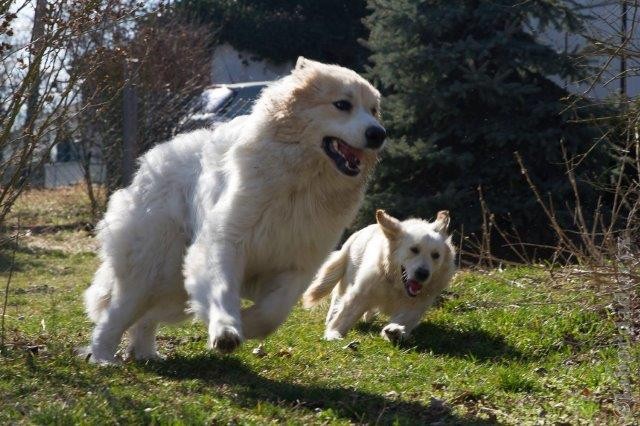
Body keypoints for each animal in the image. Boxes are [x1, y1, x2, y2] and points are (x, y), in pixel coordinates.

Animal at [84, 56, 384, 362]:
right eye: (342, 105)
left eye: (374, 110)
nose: (378, 134)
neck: (301, 183)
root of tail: (150, 160)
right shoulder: (226, 242)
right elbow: (222, 289)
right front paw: (226, 329)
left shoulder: (297, 266)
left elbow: (272, 313)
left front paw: (246, 324)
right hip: (153, 267)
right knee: (116, 314)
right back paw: (103, 357)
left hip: (171, 284)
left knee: (145, 318)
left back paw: (146, 354)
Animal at [302, 210, 456, 342]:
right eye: (414, 249)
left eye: (436, 255)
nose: (423, 274)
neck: (397, 285)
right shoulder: (361, 294)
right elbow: (345, 314)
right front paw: (333, 333)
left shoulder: (415, 306)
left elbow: (404, 319)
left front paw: (395, 331)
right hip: (347, 278)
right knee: (337, 299)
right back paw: (331, 317)